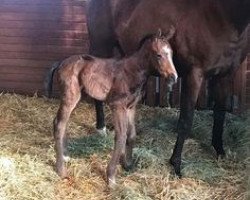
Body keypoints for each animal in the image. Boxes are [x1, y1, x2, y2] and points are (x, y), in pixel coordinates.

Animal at [48, 30, 177, 186]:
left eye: (171, 53)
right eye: (159, 55)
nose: (173, 77)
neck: (132, 71)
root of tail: (60, 63)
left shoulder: (131, 107)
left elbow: (131, 135)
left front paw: (127, 164)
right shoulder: (117, 106)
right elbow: (121, 137)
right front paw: (111, 177)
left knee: (63, 123)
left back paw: (66, 156)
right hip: (70, 98)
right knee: (59, 124)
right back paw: (61, 169)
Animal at [86, 0, 250, 175]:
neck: (221, 18)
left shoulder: (225, 76)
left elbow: (220, 115)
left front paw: (220, 151)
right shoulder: (194, 75)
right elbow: (186, 120)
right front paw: (176, 164)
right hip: (101, 47)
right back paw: (101, 129)